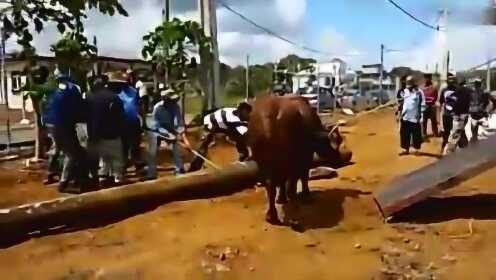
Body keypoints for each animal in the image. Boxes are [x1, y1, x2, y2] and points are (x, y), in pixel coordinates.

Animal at [250, 95, 350, 224]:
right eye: (333, 144)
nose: (338, 158)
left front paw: (282, 198)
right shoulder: (305, 157)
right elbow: (303, 176)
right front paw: (305, 195)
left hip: (263, 162)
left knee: (270, 185)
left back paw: (272, 215)